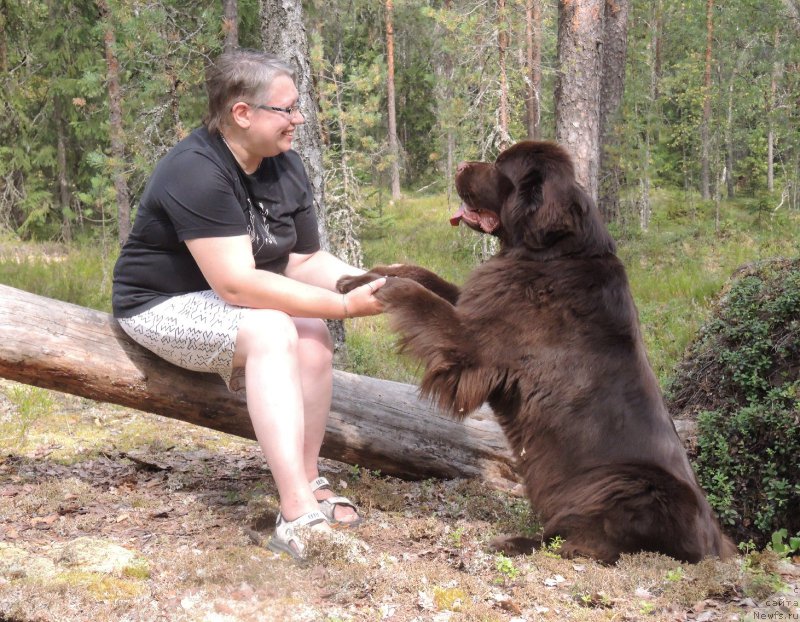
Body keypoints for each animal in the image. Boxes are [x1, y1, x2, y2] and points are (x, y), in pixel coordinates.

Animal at [338, 144, 732, 568]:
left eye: (500, 167)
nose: (460, 164)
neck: (551, 254)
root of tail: (716, 547)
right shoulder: (475, 300)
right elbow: (422, 275)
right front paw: (358, 278)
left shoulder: (472, 343)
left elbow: (419, 295)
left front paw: (383, 286)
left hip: (628, 486)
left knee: (582, 543)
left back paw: (511, 542)